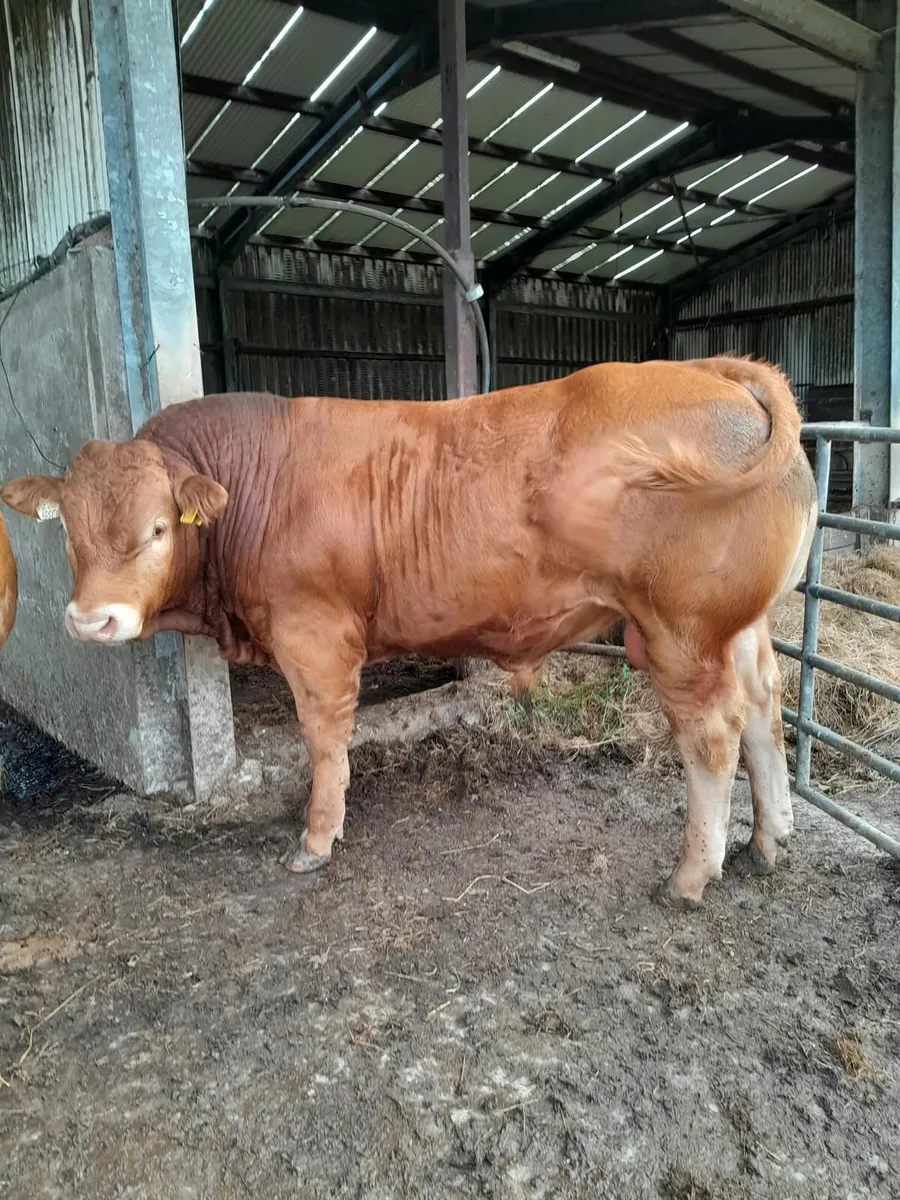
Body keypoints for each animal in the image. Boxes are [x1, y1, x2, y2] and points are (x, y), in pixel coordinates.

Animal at [0, 356, 817, 907]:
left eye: (159, 528)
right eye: (67, 531)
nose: (92, 620)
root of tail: (711, 371)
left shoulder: (314, 634)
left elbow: (324, 736)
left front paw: (317, 837)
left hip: (681, 631)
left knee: (712, 737)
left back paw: (691, 874)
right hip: (740, 626)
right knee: (765, 710)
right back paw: (769, 840)